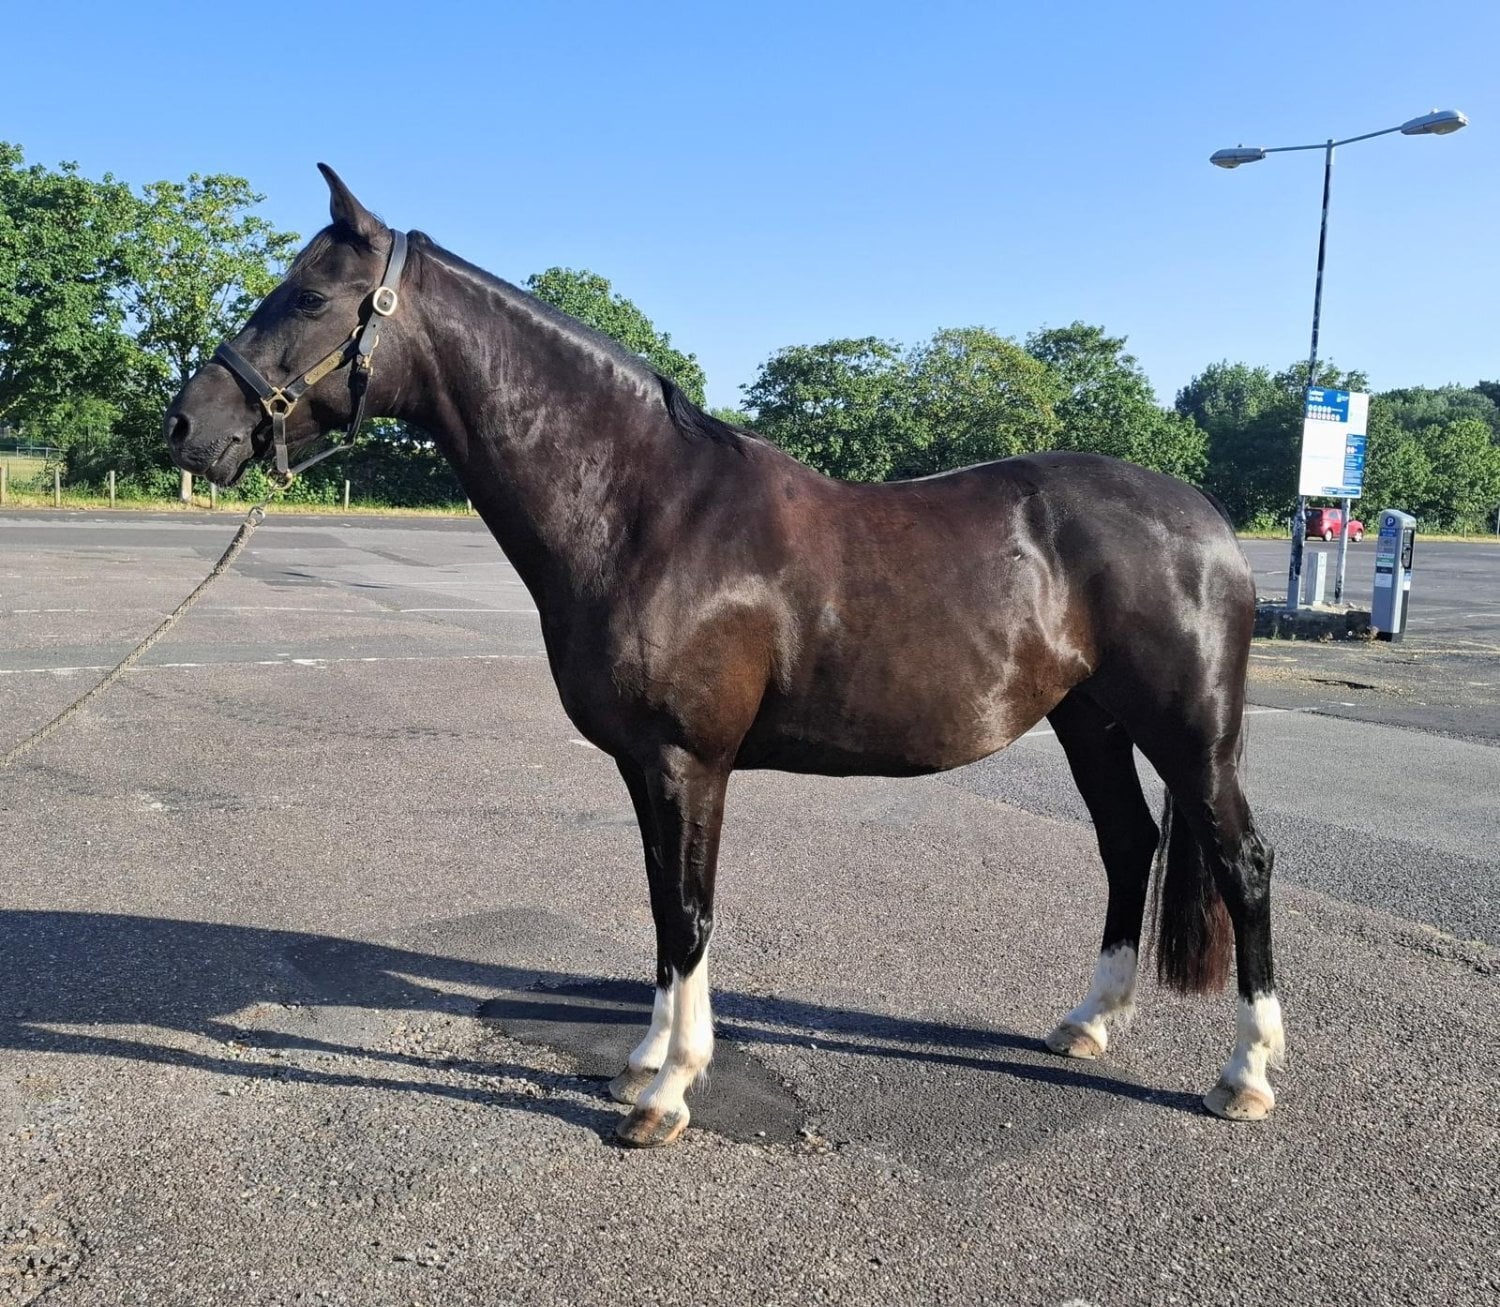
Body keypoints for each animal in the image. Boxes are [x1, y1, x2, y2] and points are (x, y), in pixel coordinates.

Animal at [165, 166, 1285, 1148]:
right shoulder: (643, 765)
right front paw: (645, 1062)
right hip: (1088, 719)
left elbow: (691, 911)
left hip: (1192, 736)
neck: (648, 509)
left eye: (310, 294)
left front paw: (669, 1092)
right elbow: (663, 908)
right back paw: (1088, 1022)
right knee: (1129, 845)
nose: (187, 426)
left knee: (1242, 861)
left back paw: (1246, 1073)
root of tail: (1208, 521)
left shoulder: (686, 760)